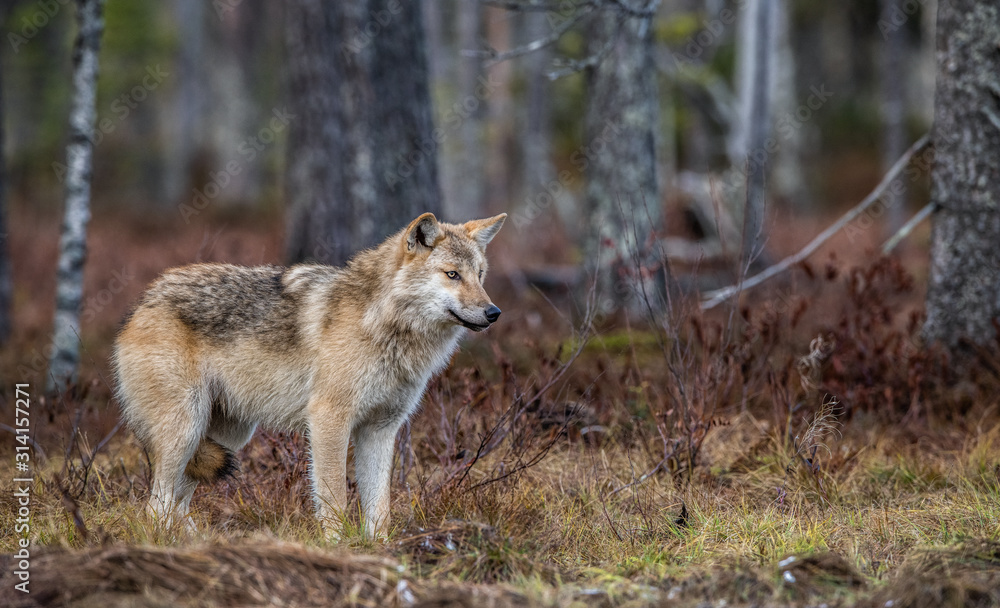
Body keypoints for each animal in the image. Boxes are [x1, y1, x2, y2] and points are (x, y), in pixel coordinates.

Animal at [113, 212, 506, 538]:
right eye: (452, 274)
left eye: (480, 275)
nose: (494, 312)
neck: (385, 325)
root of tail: (144, 300)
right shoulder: (328, 419)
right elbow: (334, 496)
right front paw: (337, 547)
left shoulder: (381, 429)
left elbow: (379, 506)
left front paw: (379, 550)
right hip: (187, 429)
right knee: (155, 505)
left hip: (227, 437)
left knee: (177, 503)